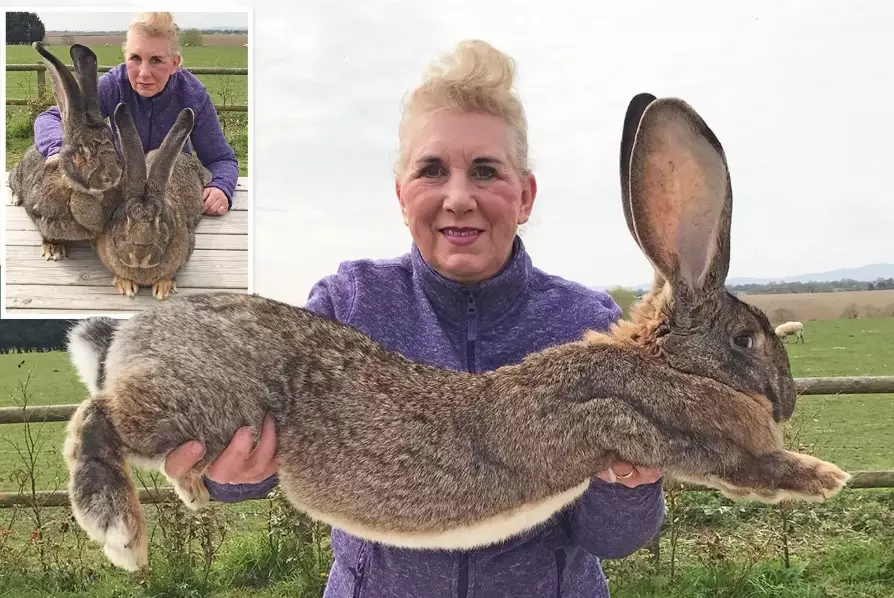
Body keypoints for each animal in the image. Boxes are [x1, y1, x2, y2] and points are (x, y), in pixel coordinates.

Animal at [8, 42, 123, 261]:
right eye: (82, 150)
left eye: (114, 141)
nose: (112, 175)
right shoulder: (39, 214)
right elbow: (47, 232)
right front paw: (53, 250)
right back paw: (15, 198)